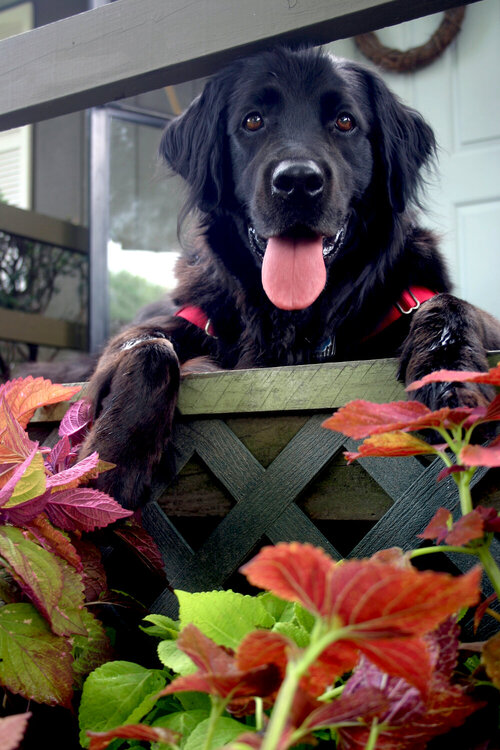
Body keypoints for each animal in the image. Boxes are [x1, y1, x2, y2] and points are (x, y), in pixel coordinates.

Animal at [80, 47, 500, 512]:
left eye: (345, 121)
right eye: (252, 120)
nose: (298, 182)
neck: (295, 321)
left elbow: (450, 305)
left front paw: (449, 374)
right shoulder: (185, 321)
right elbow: (148, 345)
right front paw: (115, 457)